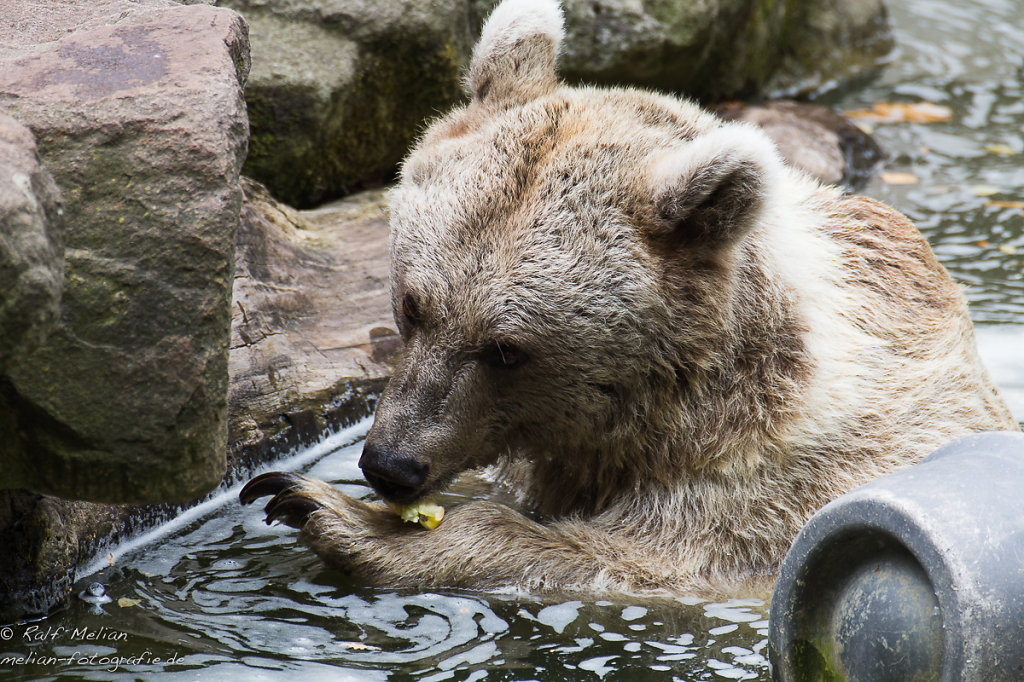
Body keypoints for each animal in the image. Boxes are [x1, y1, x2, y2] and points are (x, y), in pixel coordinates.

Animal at [239, 0, 1015, 593]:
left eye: (507, 349)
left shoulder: (760, 500)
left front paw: (326, 510)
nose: (391, 464)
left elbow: (613, 555)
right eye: (412, 306)